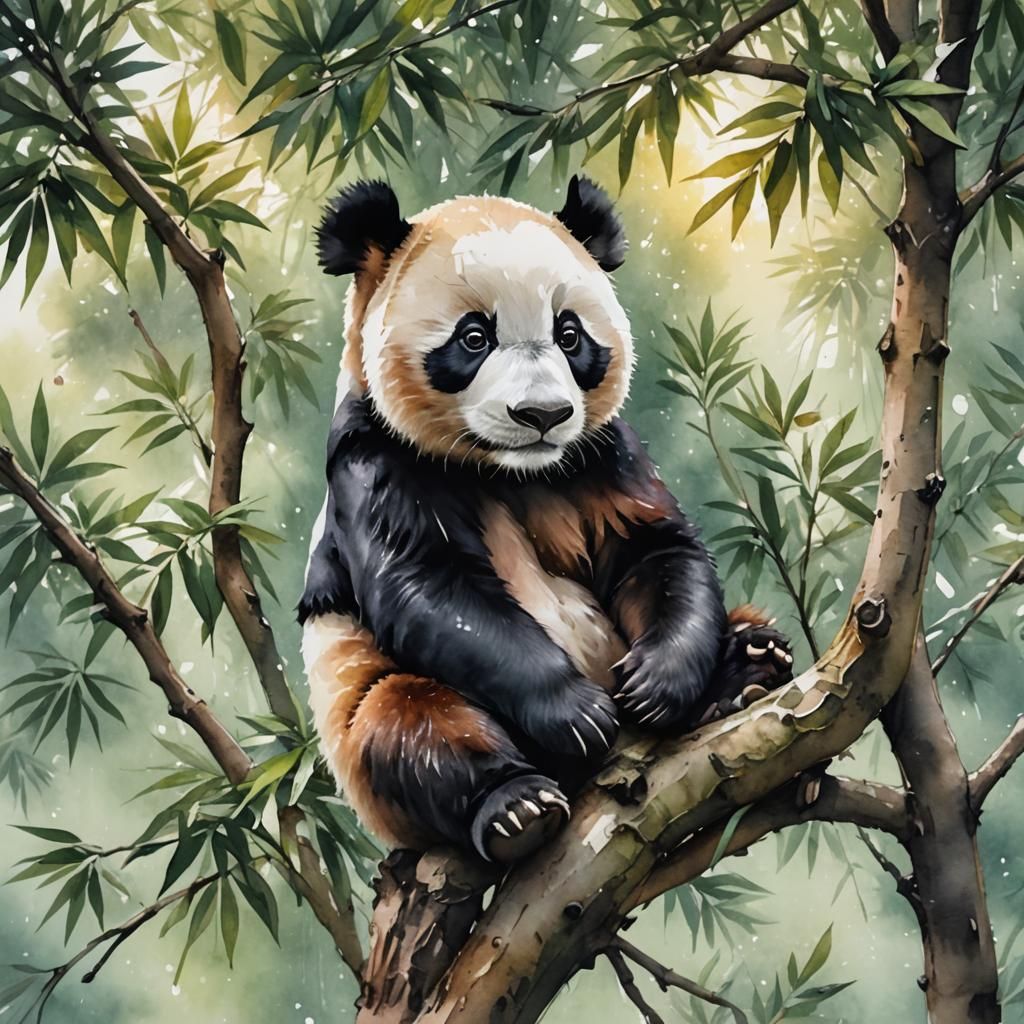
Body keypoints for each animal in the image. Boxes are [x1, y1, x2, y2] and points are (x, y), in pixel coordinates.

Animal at [299, 176, 792, 864]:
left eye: (569, 334)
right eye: (473, 337)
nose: (543, 415)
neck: (508, 468)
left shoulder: (600, 453)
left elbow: (651, 548)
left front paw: (657, 682)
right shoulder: (375, 459)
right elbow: (428, 586)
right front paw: (578, 713)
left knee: (742, 620)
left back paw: (748, 665)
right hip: (367, 726)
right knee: (411, 725)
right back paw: (515, 807)